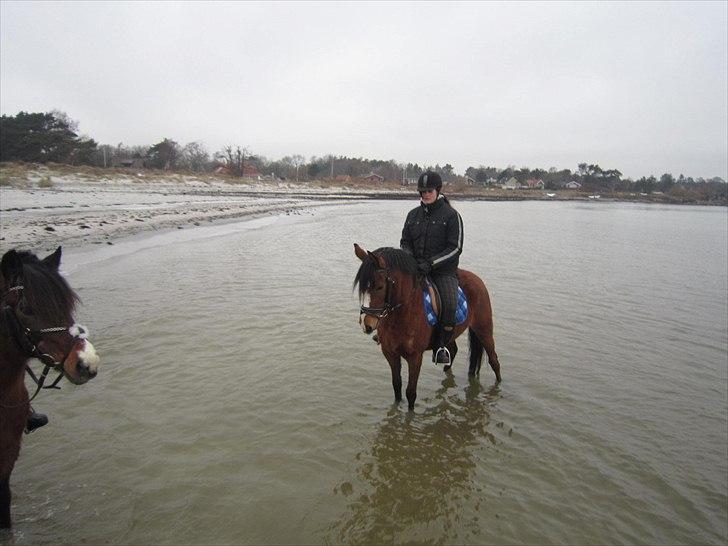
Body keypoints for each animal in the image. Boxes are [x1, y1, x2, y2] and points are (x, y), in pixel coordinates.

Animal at [352, 243, 500, 408]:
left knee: (494, 360)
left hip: (483, 329)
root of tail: (477, 279)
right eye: (361, 287)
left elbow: (411, 392)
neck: (402, 314)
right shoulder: (390, 354)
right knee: (453, 350)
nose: (366, 324)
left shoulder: (415, 357)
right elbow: (397, 386)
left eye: (379, 287)